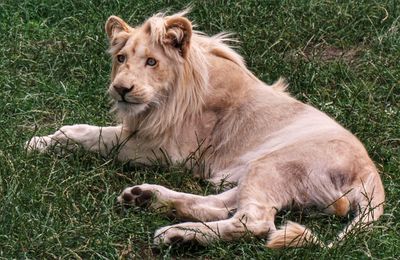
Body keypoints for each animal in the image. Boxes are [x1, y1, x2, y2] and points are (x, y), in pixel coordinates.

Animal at [25, 10, 384, 248]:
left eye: (152, 62)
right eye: (121, 58)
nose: (121, 89)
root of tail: (371, 175)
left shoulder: (165, 150)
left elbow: (90, 134)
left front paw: (39, 142)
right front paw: (44, 141)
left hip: (275, 163)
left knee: (252, 221)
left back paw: (177, 235)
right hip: (259, 170)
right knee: (221, 204)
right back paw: (148, 200)